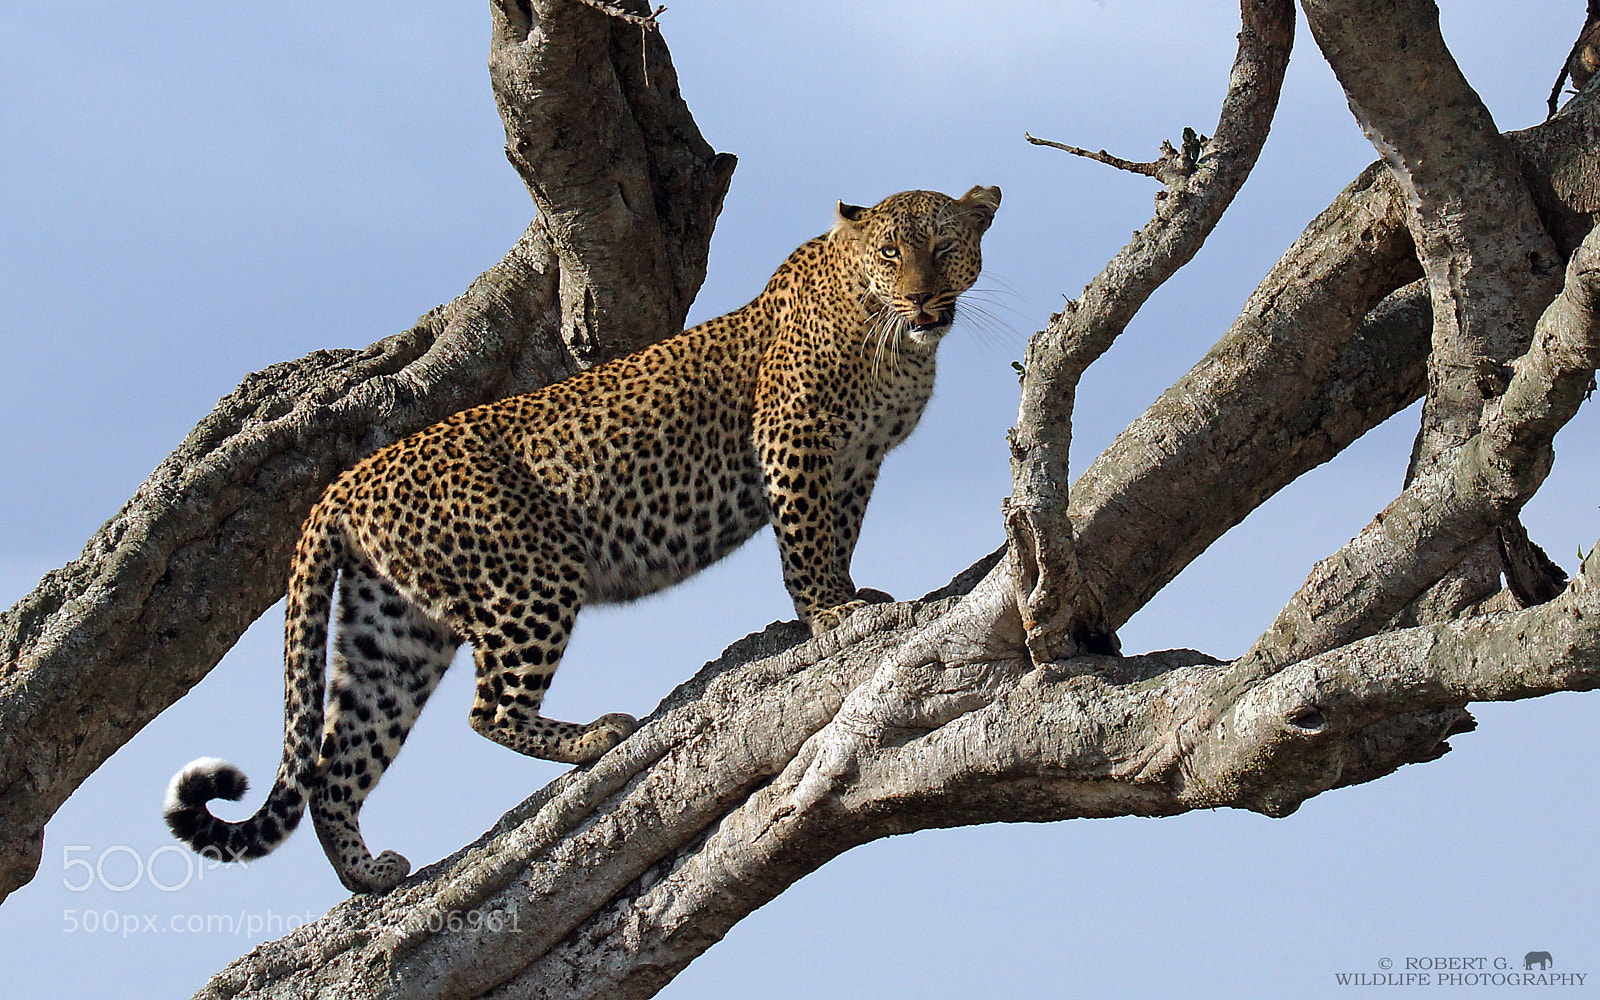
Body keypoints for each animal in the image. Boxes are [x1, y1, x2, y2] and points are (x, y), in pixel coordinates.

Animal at [163, 185, 1001, 893]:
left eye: (944, 244)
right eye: (890, 252)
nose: (923, 296)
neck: (896, 344)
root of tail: (339, 487)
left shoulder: (858, 463)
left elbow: (840, 532)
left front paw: (851, 591)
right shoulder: (792, 438)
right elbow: (806, 537)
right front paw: (827, 612)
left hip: (393, 629)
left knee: (338, 761)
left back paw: (366, 875)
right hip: (530, 575)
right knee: (486, 709)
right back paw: (593, 739)